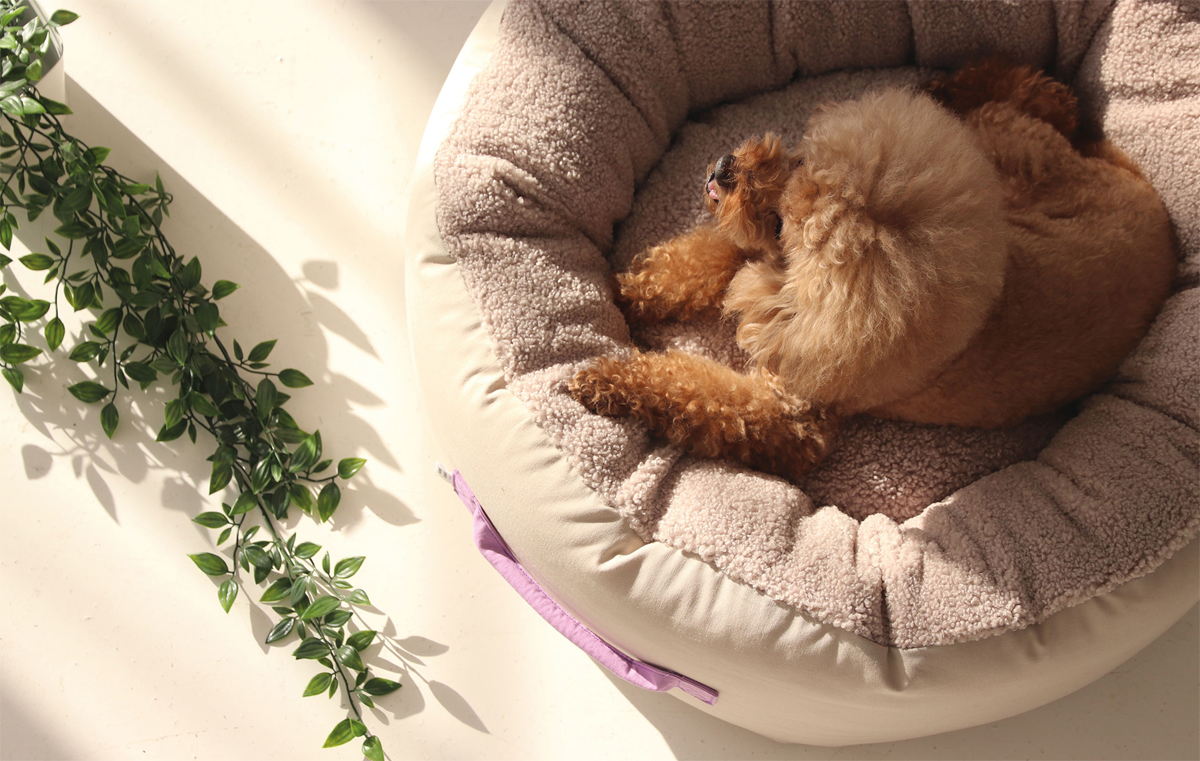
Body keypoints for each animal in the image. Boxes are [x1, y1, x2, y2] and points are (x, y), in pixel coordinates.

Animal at [569, 60, 1178, 482]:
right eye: (798, 159)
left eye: (782, 221)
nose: (724, 168)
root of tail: (1148, 196)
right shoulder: (758, 266)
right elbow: (707, 256)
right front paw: (627, 293)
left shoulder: (792, 413)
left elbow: (694, 392)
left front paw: (606, 379)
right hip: (1008, 153)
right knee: (1044, 96)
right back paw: (945, 86)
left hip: (1011, 145)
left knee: (1046, 100)